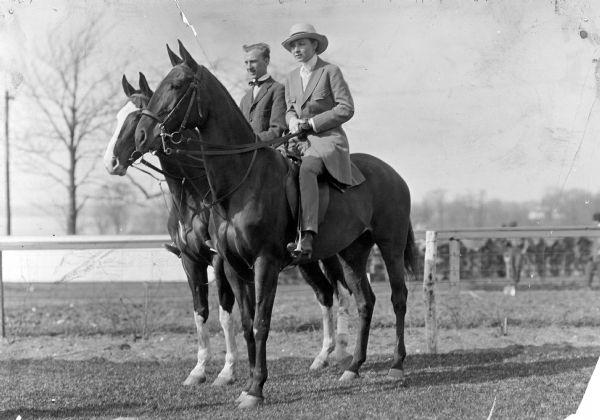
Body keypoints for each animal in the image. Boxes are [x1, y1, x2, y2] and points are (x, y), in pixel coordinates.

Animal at [105, 74, 354, 384]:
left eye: (137, 114)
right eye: (118, 116)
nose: (112, 162)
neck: (196, 195)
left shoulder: (220, 261)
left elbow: (226, 315)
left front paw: (228, 370)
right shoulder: (191, 261)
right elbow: (201, 312)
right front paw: (199, 369)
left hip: (329, 253)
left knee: (342, 292)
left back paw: (342, 351)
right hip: (305, 262)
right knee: (325, 293)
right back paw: (322, 356)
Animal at [136, 41, 418, 406]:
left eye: (177, 84)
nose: (143, 134)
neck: (240, 182)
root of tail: (393, 174)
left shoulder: (264, 262)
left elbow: (261, 323)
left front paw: (255, 388)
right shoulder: (233, 266)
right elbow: (244, 323)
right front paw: (244, 382)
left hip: (390, 245)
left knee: (398, 297)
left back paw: (396, 365)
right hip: (351, 253)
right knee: (364, 301)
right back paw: (353, 367)